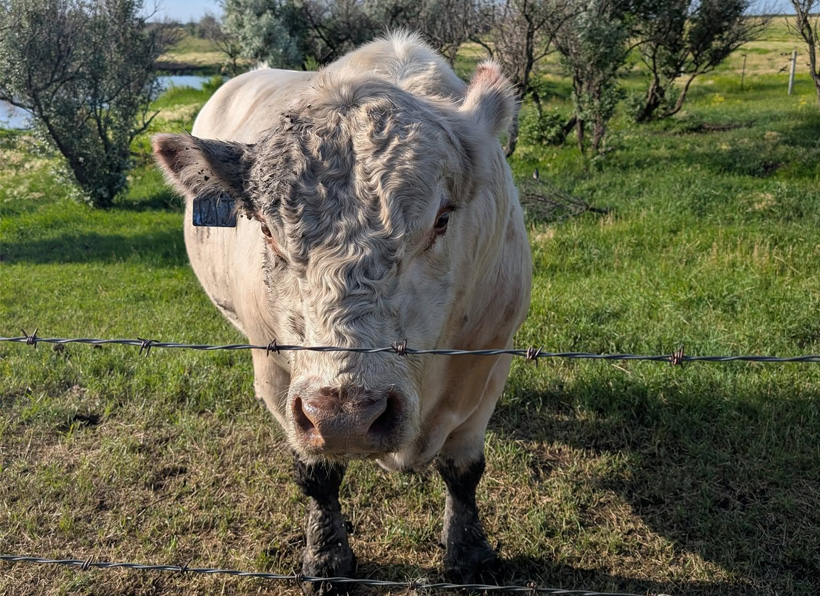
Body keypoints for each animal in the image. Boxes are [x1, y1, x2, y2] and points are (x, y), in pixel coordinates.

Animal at [152, 32, 532, 589]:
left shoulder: (488, 359)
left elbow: (463, 470)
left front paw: (470, 554)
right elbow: (317, 474)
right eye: (266, 229)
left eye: (442, 219)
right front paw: (327, 557)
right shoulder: (277, 375)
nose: (347, 417)